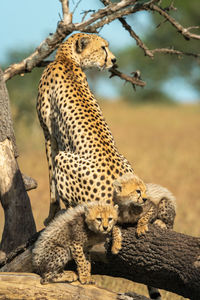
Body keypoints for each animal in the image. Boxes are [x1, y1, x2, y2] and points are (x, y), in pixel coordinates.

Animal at [36, 33, 134, 225]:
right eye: (103, 47)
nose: (114, 60)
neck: (67, 58)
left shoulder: (49, 137)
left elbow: (52, 184)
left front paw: (51, 216)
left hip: (63, 157)